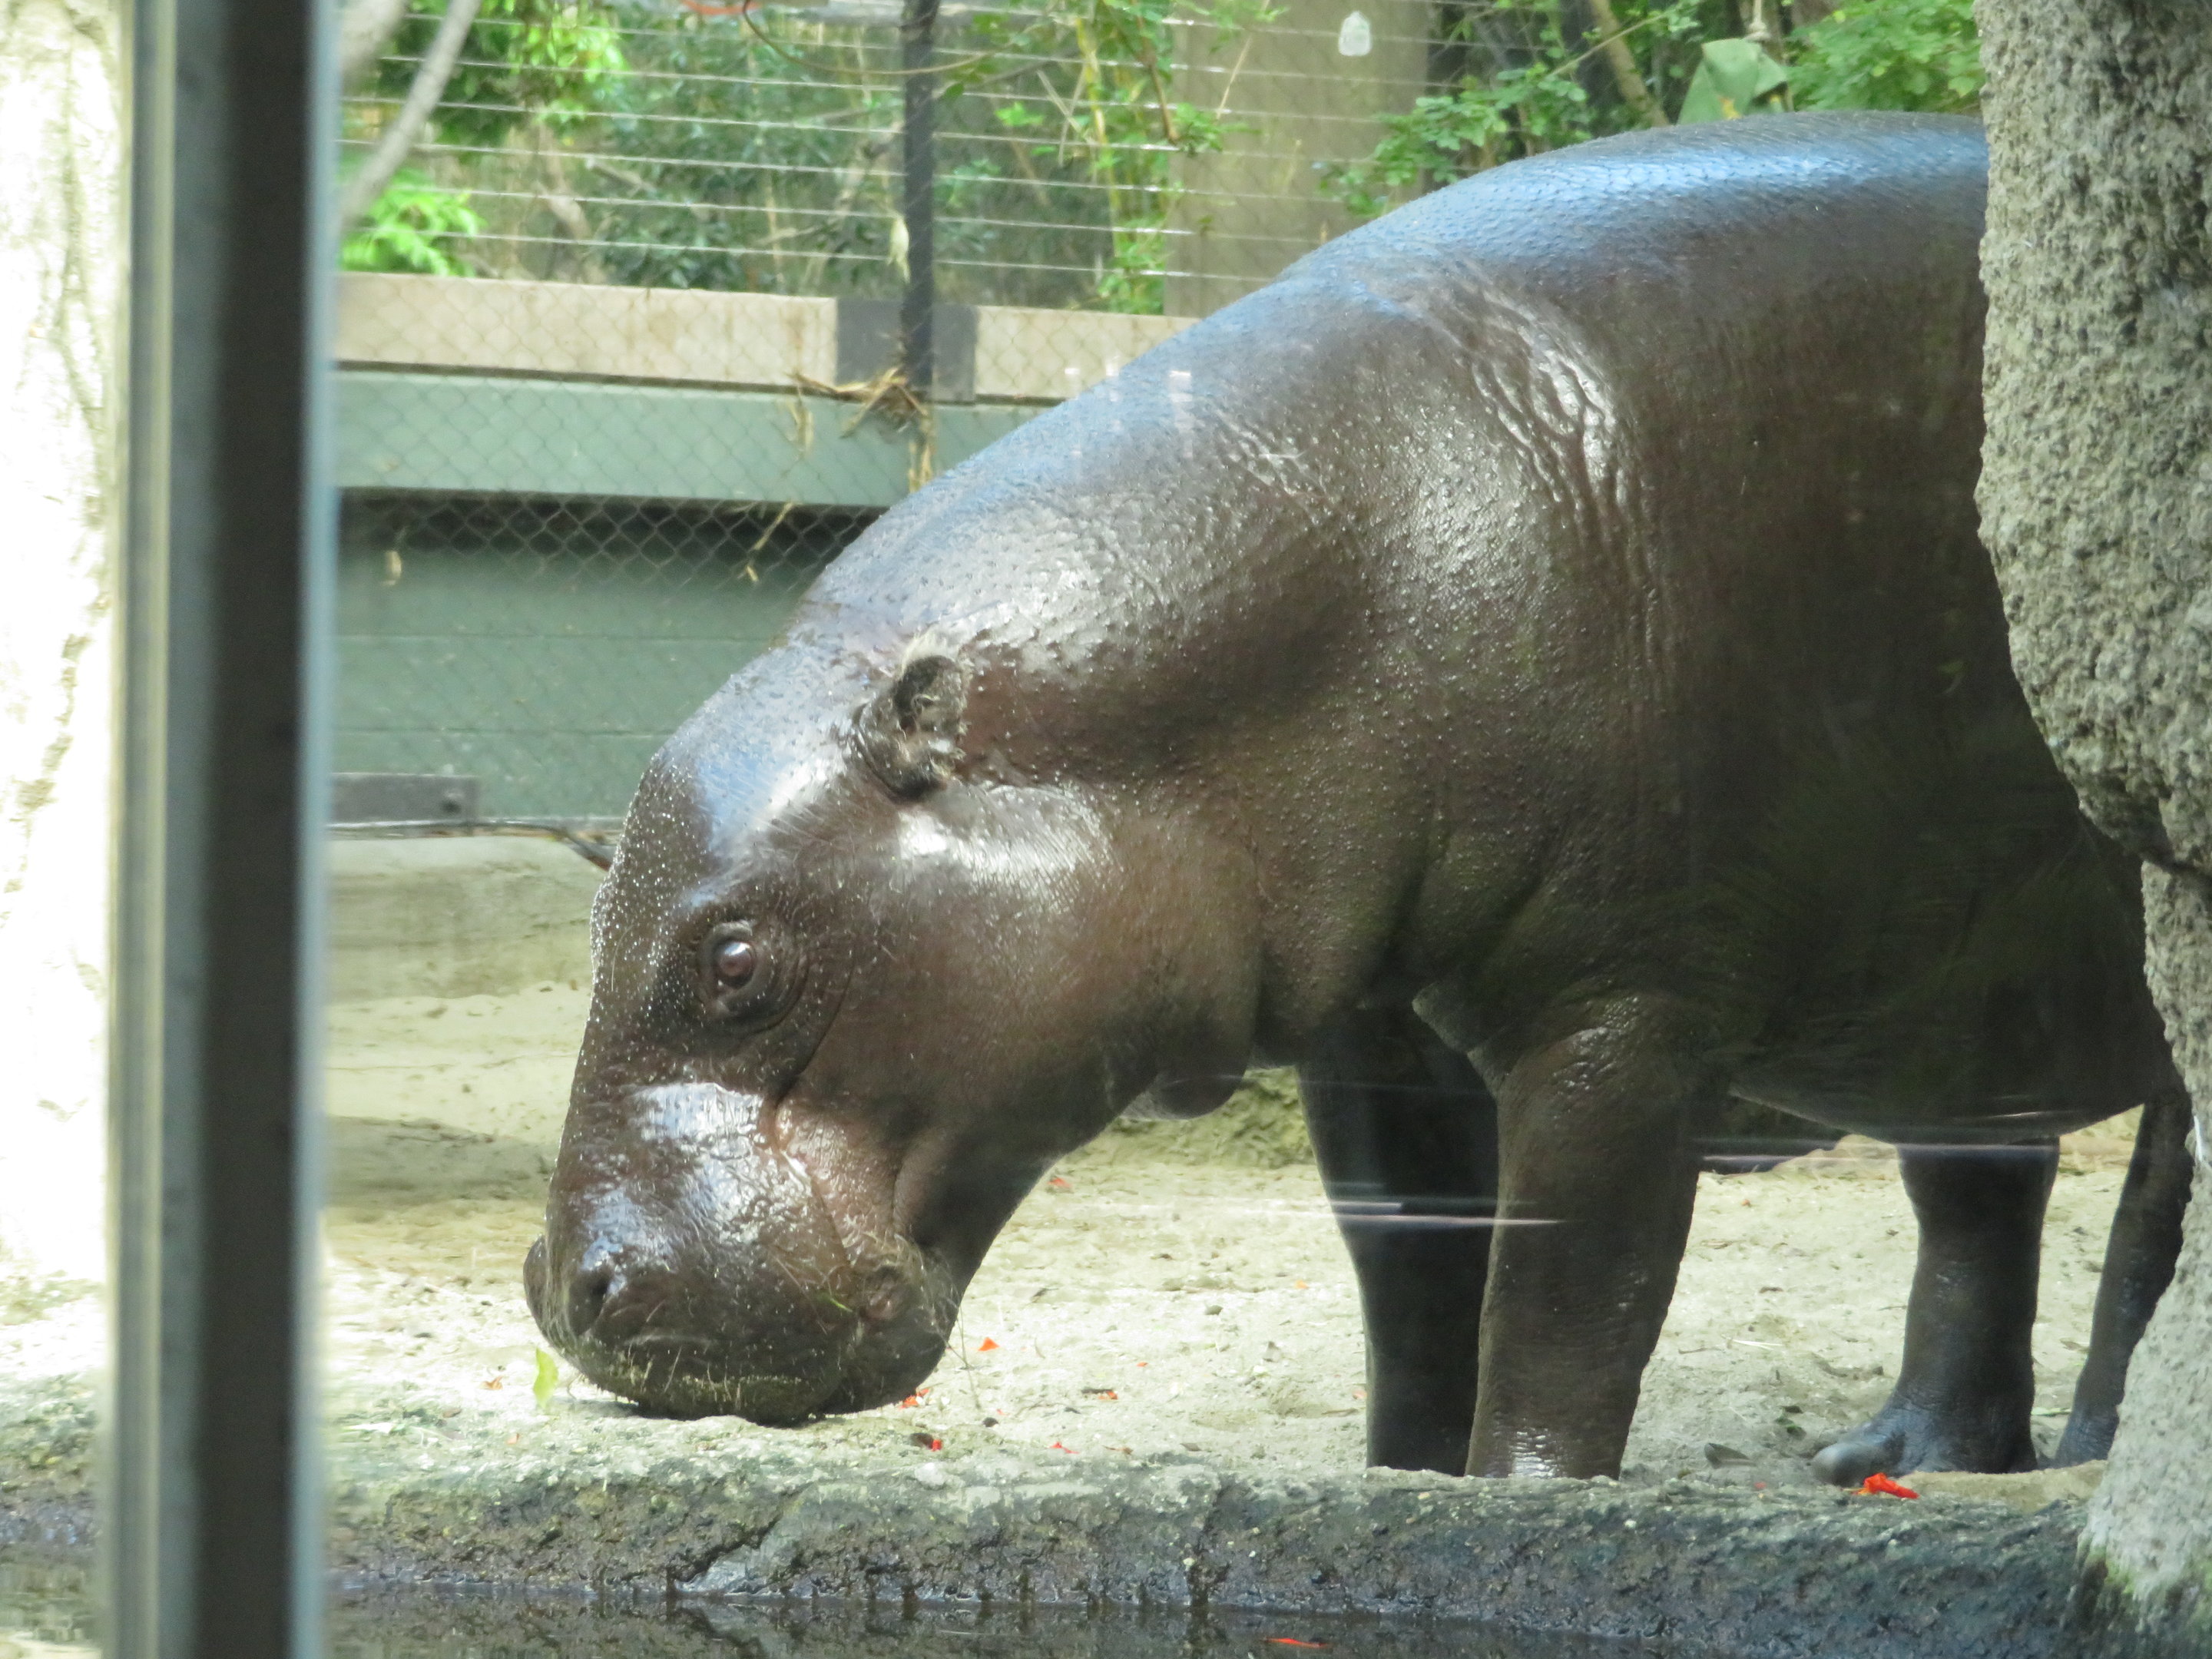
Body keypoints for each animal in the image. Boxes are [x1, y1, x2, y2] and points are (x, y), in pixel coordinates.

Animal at [525, 112, 2193, 1484]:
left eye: (737, 961)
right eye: (596, 910)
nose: (561, 1291)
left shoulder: (1625, 1016)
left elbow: (1568, 1295)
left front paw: (1525, 1498)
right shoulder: (1374, 1034)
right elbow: (1413, 1275)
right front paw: (1398, 1489)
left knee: (2151, 1222)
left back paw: (2102, 1452)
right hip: (1965, 975)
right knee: (1979, 1198)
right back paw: (1902, 1462)